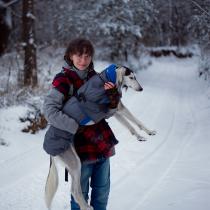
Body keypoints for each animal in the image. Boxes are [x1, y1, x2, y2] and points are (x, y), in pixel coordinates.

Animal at [44, 65, 156, 210]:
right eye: (131, 77)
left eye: (135, 77)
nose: (141, 89)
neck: (107, 77)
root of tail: (50, 152)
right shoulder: (117, 108)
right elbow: (135, 122)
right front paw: (142, 135)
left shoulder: (114, 110)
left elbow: (132, 124)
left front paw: (145, 133)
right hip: (75, 163)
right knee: (75, 191)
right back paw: (86, 207)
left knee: (75, 191)